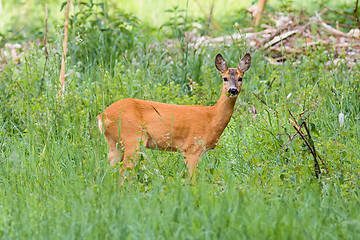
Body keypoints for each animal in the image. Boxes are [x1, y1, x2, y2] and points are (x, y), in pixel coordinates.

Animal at [97, 52, 252, 180]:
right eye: (224, 78)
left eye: (241, 78)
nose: (233, 90)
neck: (211, 118)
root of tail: (102, 116)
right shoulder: (191, 148)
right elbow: (192, 180)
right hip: (132, 138)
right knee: (124, 173)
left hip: (114, 142)